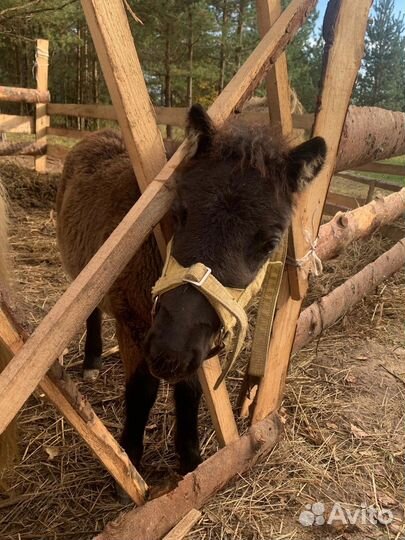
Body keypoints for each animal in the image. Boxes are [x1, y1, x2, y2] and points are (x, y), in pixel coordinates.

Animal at [56, 104, 326, 476]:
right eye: (179, 213)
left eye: (270, 243)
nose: (169, 352)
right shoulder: (134, 323)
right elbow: (142, 390)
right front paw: (130, 460)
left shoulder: (197, 340)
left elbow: (190, 390)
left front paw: (190, 460)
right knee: (91, 308)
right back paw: (93, 359)